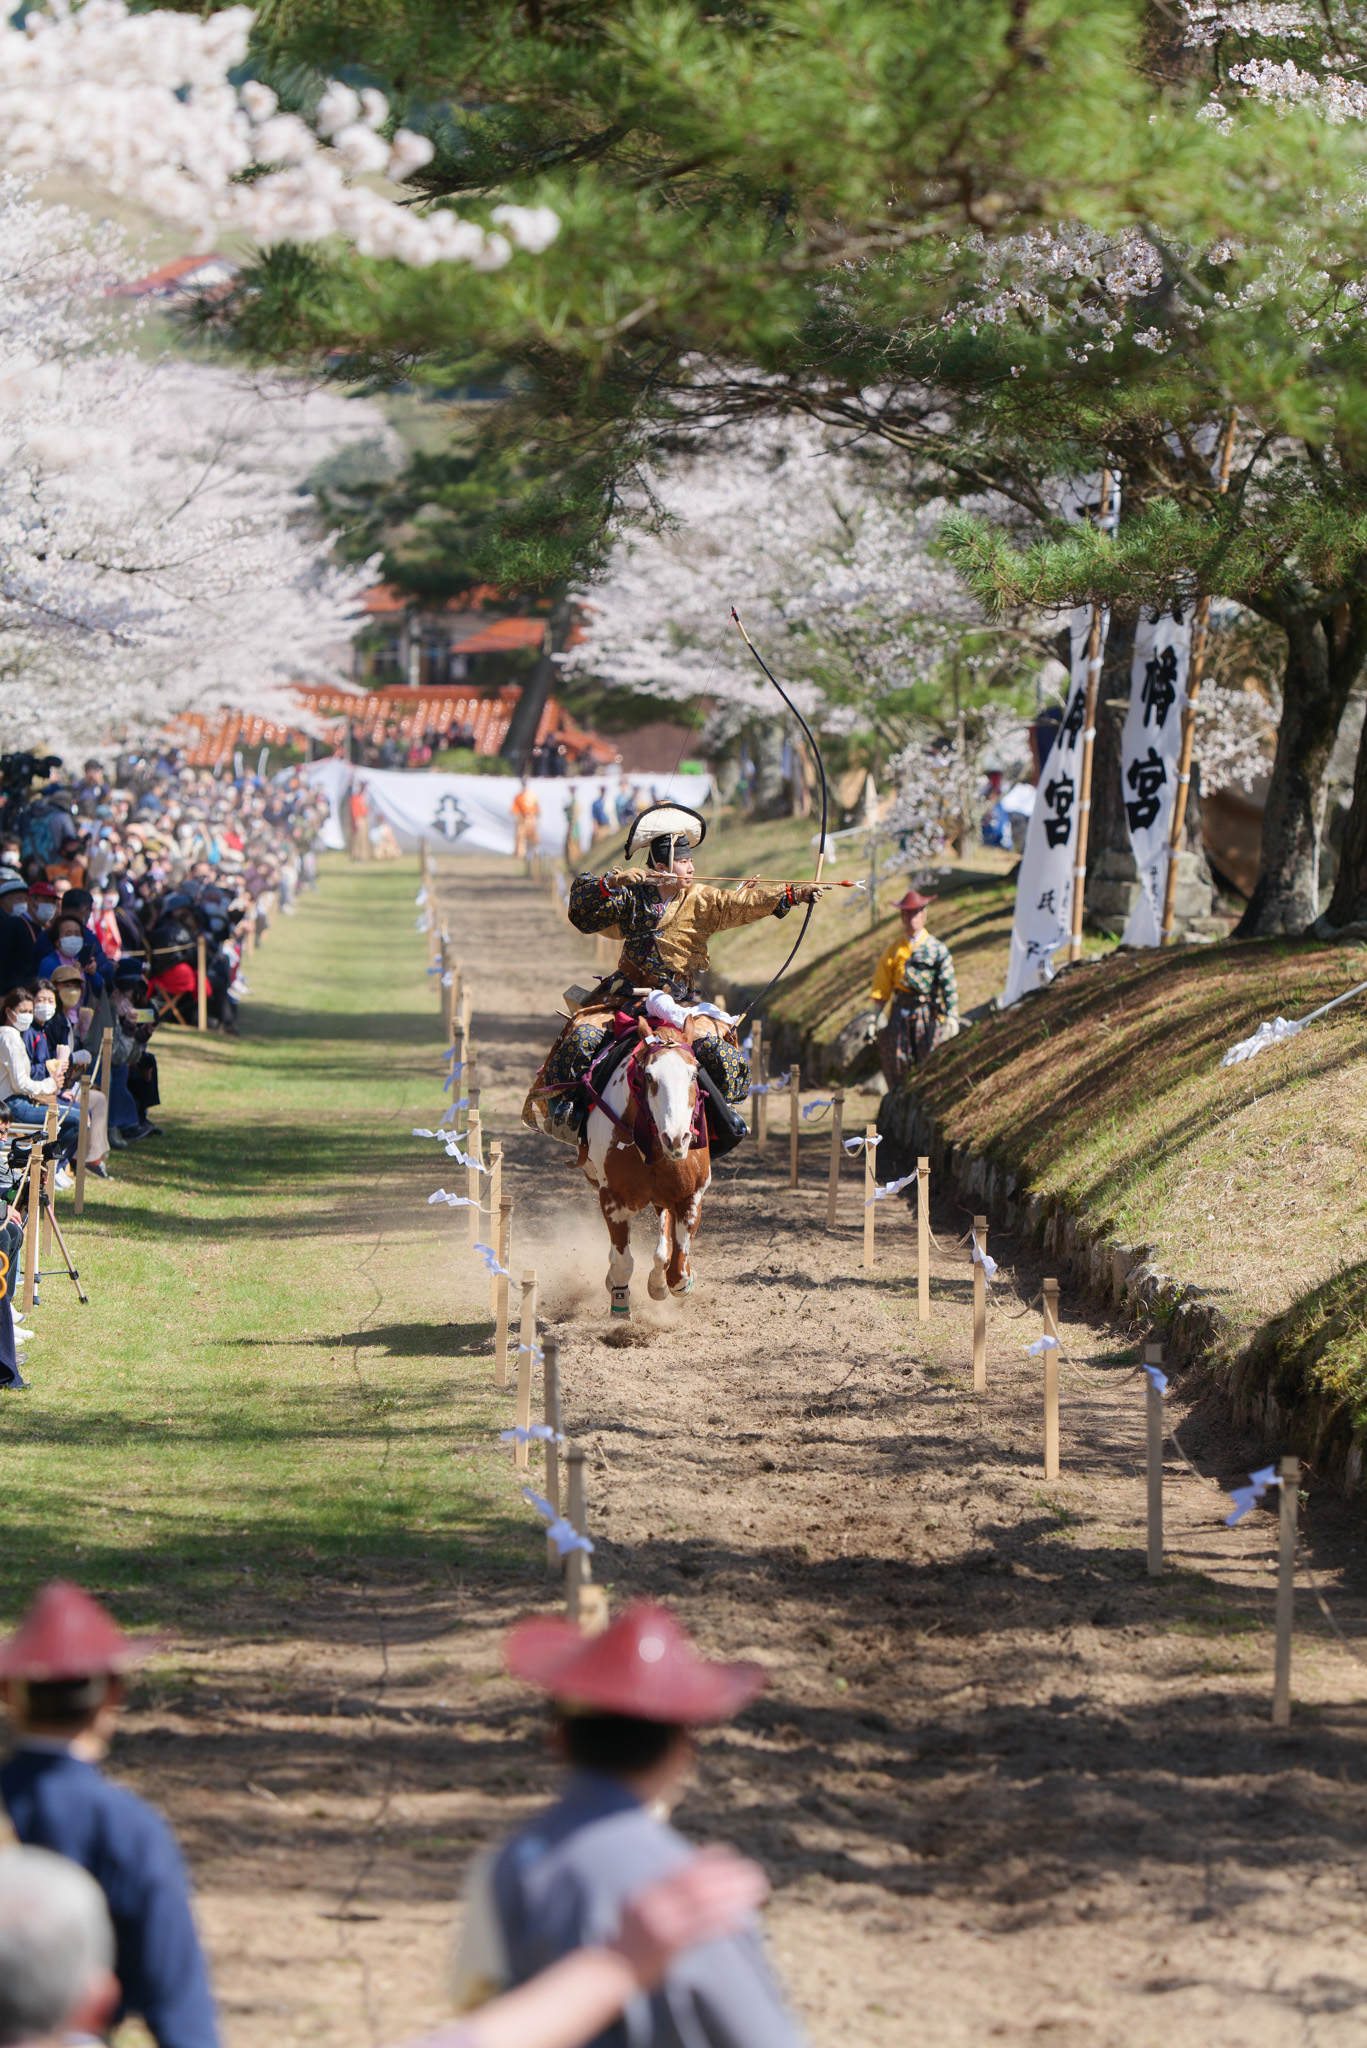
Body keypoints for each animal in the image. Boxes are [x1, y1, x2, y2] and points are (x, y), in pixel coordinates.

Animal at [577, 1015, 713, 1318]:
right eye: (649, 1076)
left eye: (694, 1074)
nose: (677, 1138)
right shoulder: (612, 1199)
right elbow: (622, 1262)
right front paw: (619, 1298)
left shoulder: (691, 1195)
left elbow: (678, 1274)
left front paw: (666, 1283)